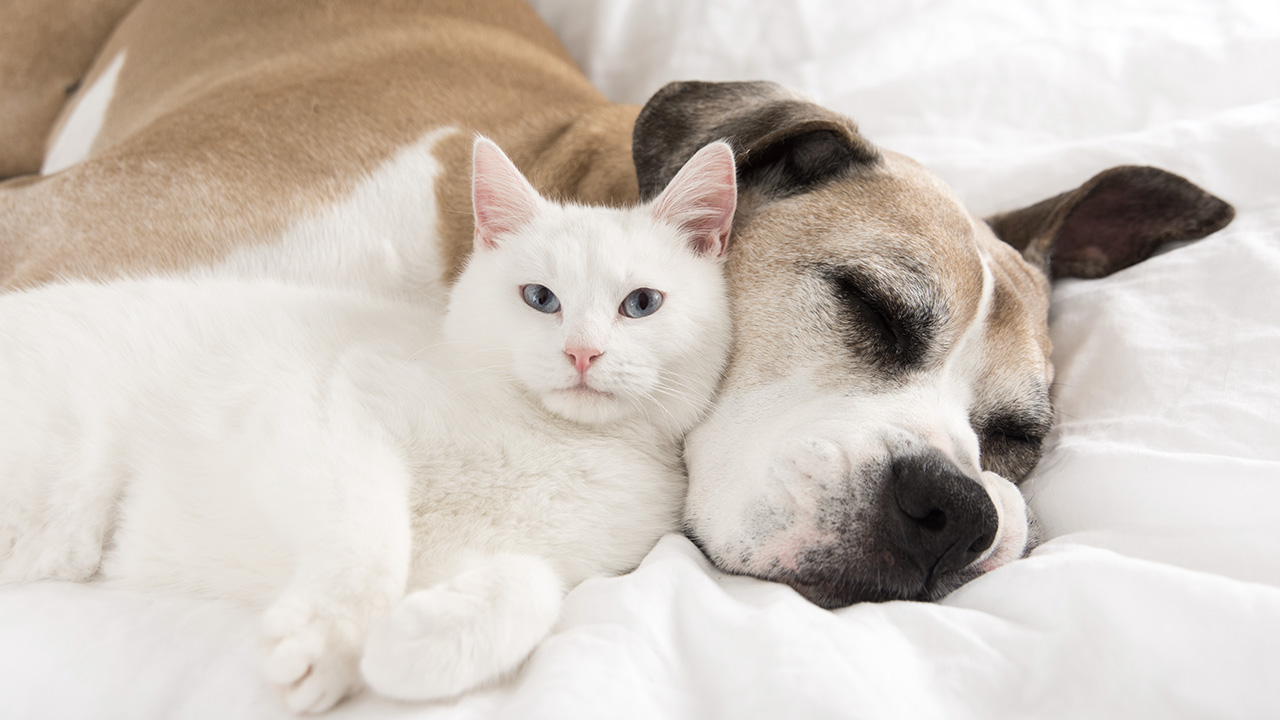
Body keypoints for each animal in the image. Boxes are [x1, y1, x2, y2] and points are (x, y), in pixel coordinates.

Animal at [0, 137, 742, 707]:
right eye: (539, 298)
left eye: (641, 303)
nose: (582, 353)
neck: (547, 438)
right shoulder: (321, 407)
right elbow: (370, 530)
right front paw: (329, 637)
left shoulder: (545, 561)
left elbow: (532, 590)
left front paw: (405, 646)